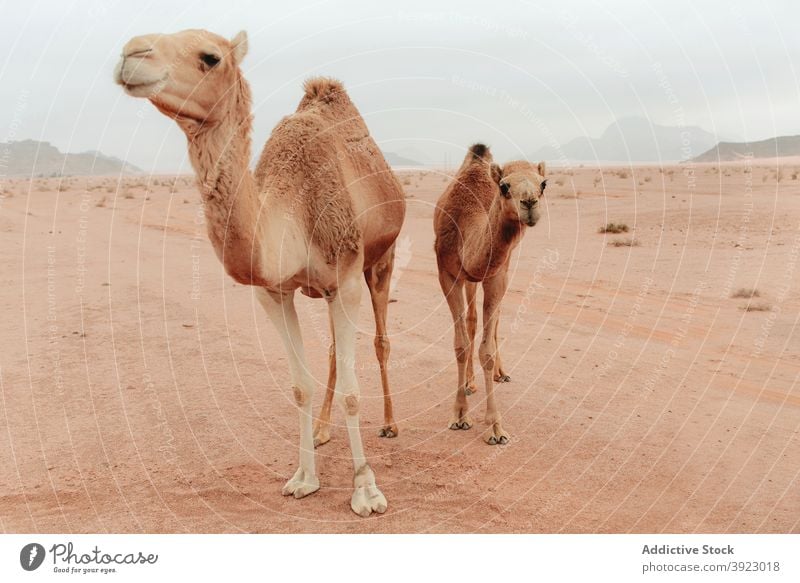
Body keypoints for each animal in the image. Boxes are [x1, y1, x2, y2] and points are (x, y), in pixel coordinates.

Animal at [115, 29, 404, 516]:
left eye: (210, 57)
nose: (131, 53)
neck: (294, 207)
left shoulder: (346, 276)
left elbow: (352, 389)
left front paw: (366, 491)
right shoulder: (274, 291)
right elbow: (300, 385)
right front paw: (304, 477)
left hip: (380, 260)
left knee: (381, 341)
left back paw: (390, 424)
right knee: (332, 350)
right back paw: (323, 430)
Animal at [434, 144, 548, 444]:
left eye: (543, 184)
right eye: (504, 186)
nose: (529, 204)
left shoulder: (496, 275)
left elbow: (486, 348)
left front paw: (495, 427)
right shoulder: (447, 274)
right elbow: (461, 344)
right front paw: (460, 415)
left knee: (492, 323)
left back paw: (500, 372)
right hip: (469, 280)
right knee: (472, 320)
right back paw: (470, 383)